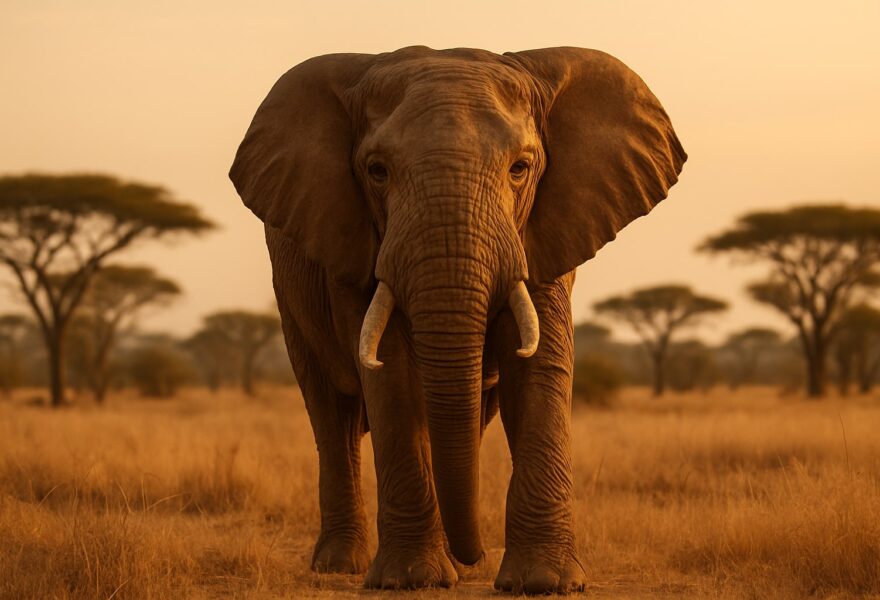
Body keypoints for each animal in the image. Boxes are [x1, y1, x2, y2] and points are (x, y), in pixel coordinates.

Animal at [229, 46, 685, 594]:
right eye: (376, 171)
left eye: (521, 168)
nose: (478, 554)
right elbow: (389, 374)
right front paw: (409, 580)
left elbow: (538, 369)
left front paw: (544, 583)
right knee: (330, 412)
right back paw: (342, 564)